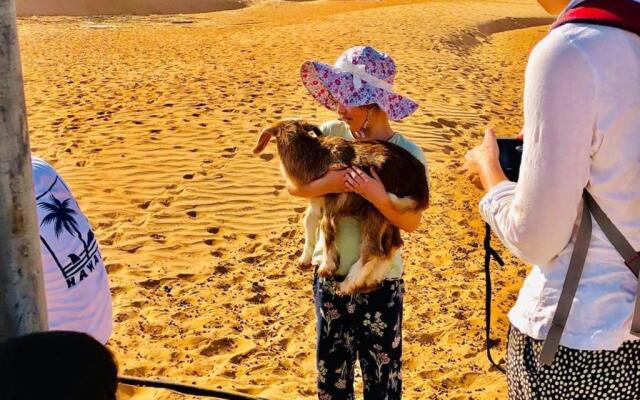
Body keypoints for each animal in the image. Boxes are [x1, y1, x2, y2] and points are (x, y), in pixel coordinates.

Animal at [252, 119, 428, 294]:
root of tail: (422, 191)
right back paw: (370, 280)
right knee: (392, 246)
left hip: (376, 208)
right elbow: (309, 222)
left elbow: (326, 228)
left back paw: (347, 285)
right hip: (388, 217)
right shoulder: (316, 199)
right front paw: (305, 259)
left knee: (373, 250)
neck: (317, 155)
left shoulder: (332, 202)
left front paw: (326, 267)